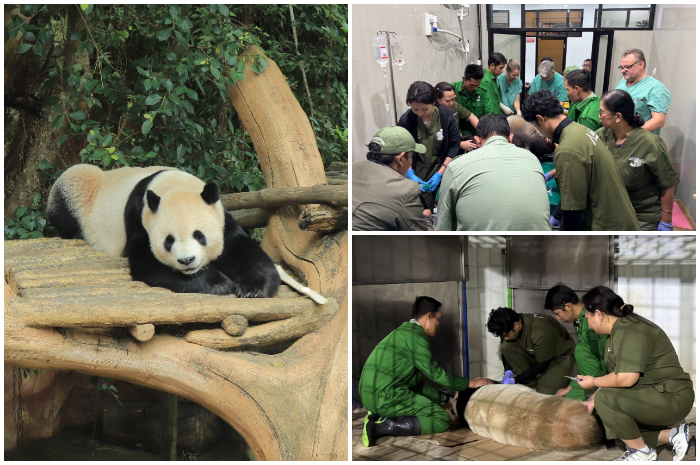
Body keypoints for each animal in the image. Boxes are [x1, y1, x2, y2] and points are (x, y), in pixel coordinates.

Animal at [47, 164, 280, 297]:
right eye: (169, 240)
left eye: (199, 235)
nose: (187, 261)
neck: (174, 186)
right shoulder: (140, 219)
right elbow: (148, 264)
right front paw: (219, 283)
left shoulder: (220, 216)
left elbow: (242, 249)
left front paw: (253, 288)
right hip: (80, 190)